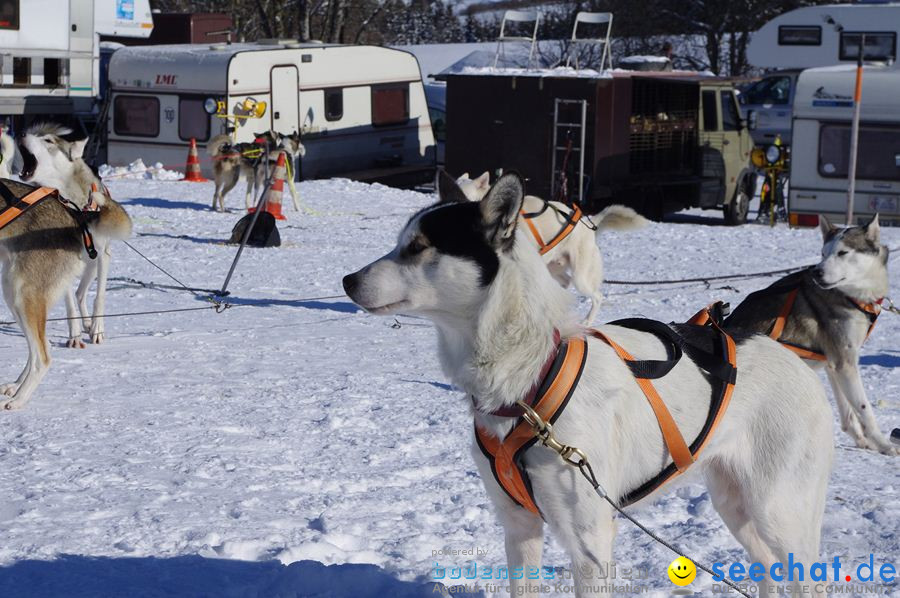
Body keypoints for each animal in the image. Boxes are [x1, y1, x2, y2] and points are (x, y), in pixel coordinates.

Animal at [458, 171, 648, 326]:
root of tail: (589, 225)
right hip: (553, 268)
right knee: (564, 283)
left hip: (580, 277)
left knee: (597, 296)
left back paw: (587, 321)